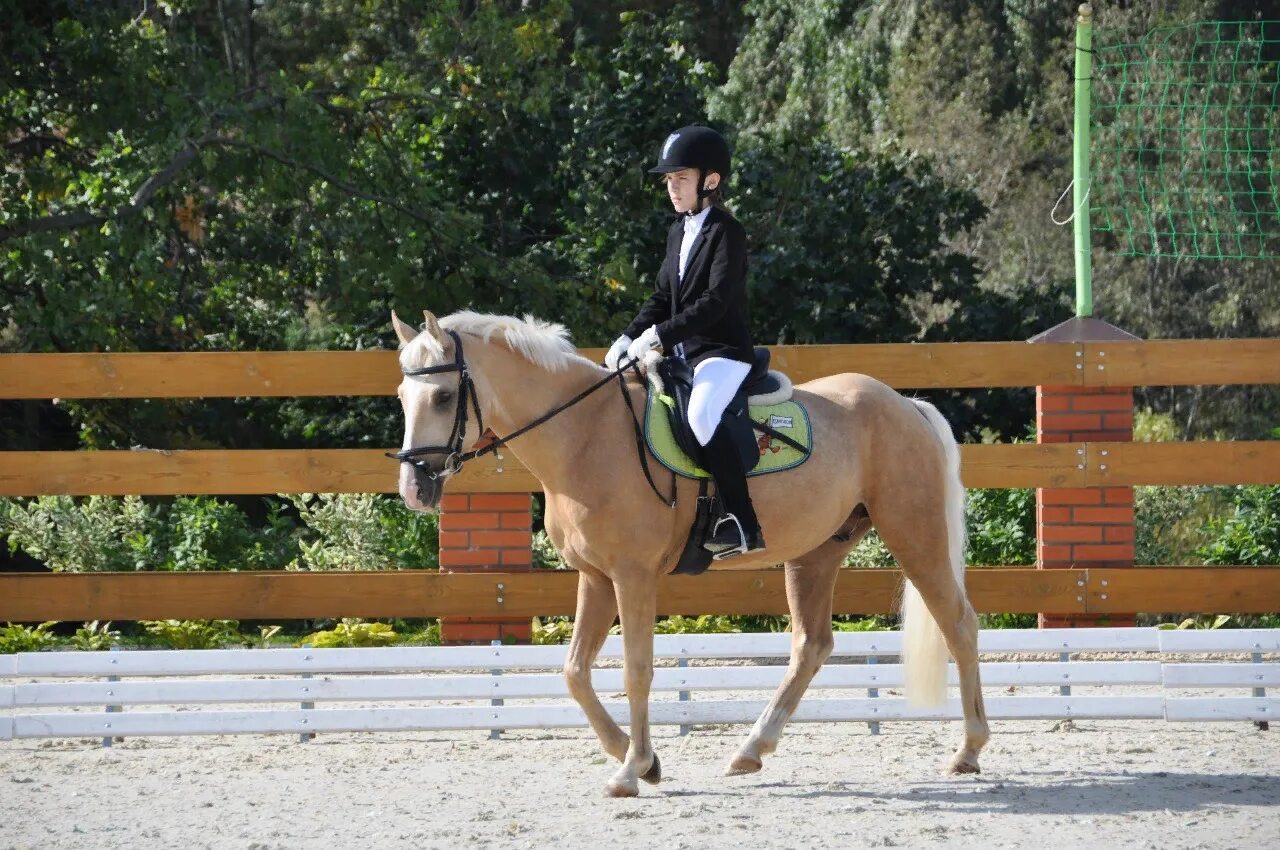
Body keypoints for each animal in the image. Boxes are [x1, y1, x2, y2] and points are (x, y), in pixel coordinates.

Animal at [389, 311, 988, 798]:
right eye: (401, 396)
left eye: (443, 397)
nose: (415, 489)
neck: (584, 436)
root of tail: (905, 403)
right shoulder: (596, 577)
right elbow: (575, 672)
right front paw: (641, 760)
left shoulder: (632, 577)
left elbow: (636, 670)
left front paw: (632, 771)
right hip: (816, 552)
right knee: (811, 645)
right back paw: (751, 751)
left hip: (914, 534)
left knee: (959, 624)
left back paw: (968, 750)